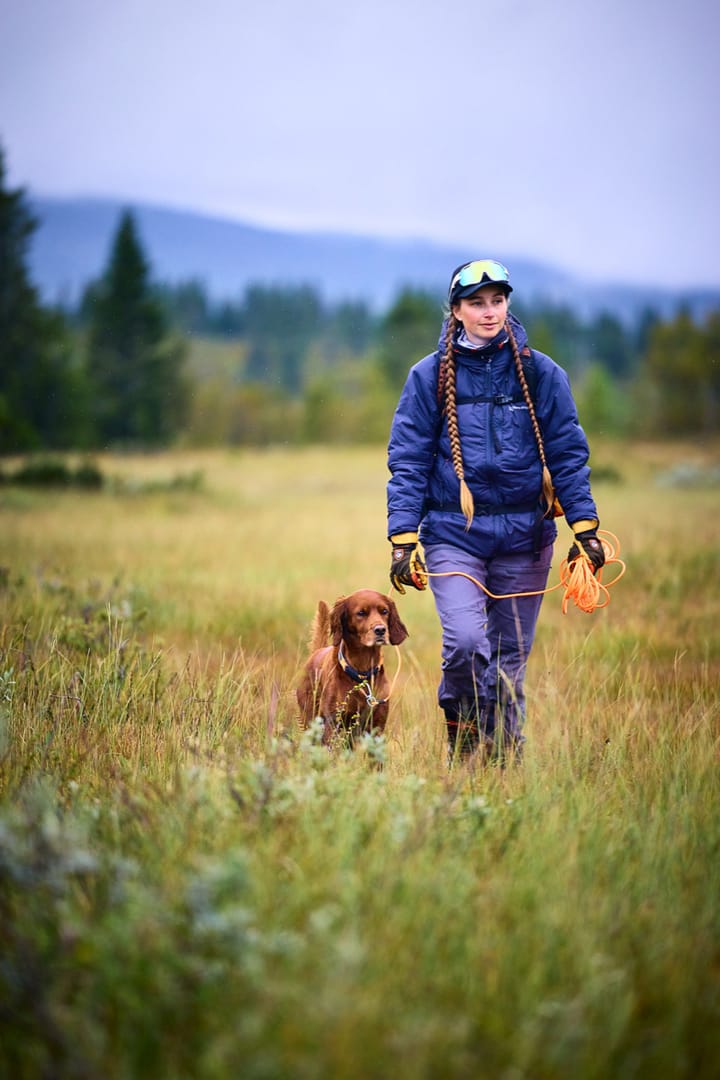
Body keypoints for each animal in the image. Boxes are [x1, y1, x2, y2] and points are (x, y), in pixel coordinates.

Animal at [297, 587, 408, 747]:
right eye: (361, 613)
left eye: (384, 611)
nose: (381, 630)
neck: (362, 673)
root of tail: (316, 653)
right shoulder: (332, 722)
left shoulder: (377, 725)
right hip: (310, 719)